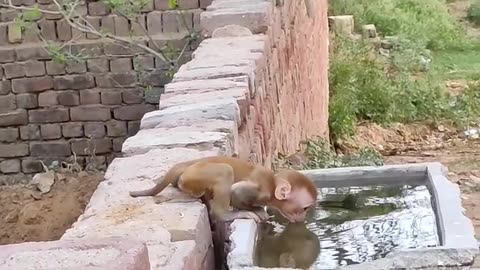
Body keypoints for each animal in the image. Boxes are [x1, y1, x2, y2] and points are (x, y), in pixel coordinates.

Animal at [130, 156, 318, 224]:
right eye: (305, 208)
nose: (303, 218)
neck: (272, 187)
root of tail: (189, 164)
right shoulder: (261, 190)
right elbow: (236, 191)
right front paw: (254, 209)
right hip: (195, 175)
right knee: (225, 170)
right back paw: (225, 214)